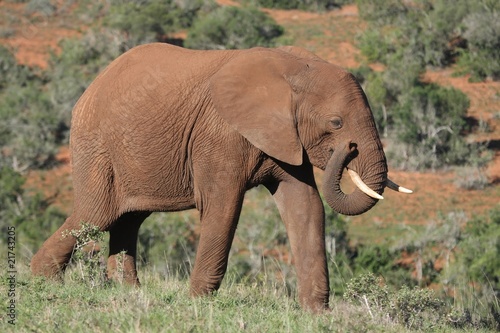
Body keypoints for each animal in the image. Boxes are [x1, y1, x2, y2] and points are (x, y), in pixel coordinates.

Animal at [32, 43, 410, 312]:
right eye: (336, 123)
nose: (348, 149)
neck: (294, 69)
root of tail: (93, 84)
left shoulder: (286, 136)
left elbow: (305, 206)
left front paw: (317, 315)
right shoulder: (219, 134)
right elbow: (223, 208)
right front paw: (198, 303)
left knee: (128, 220)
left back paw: (130, 293)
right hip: (96, 147)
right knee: (97, 213)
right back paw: (43, 282)